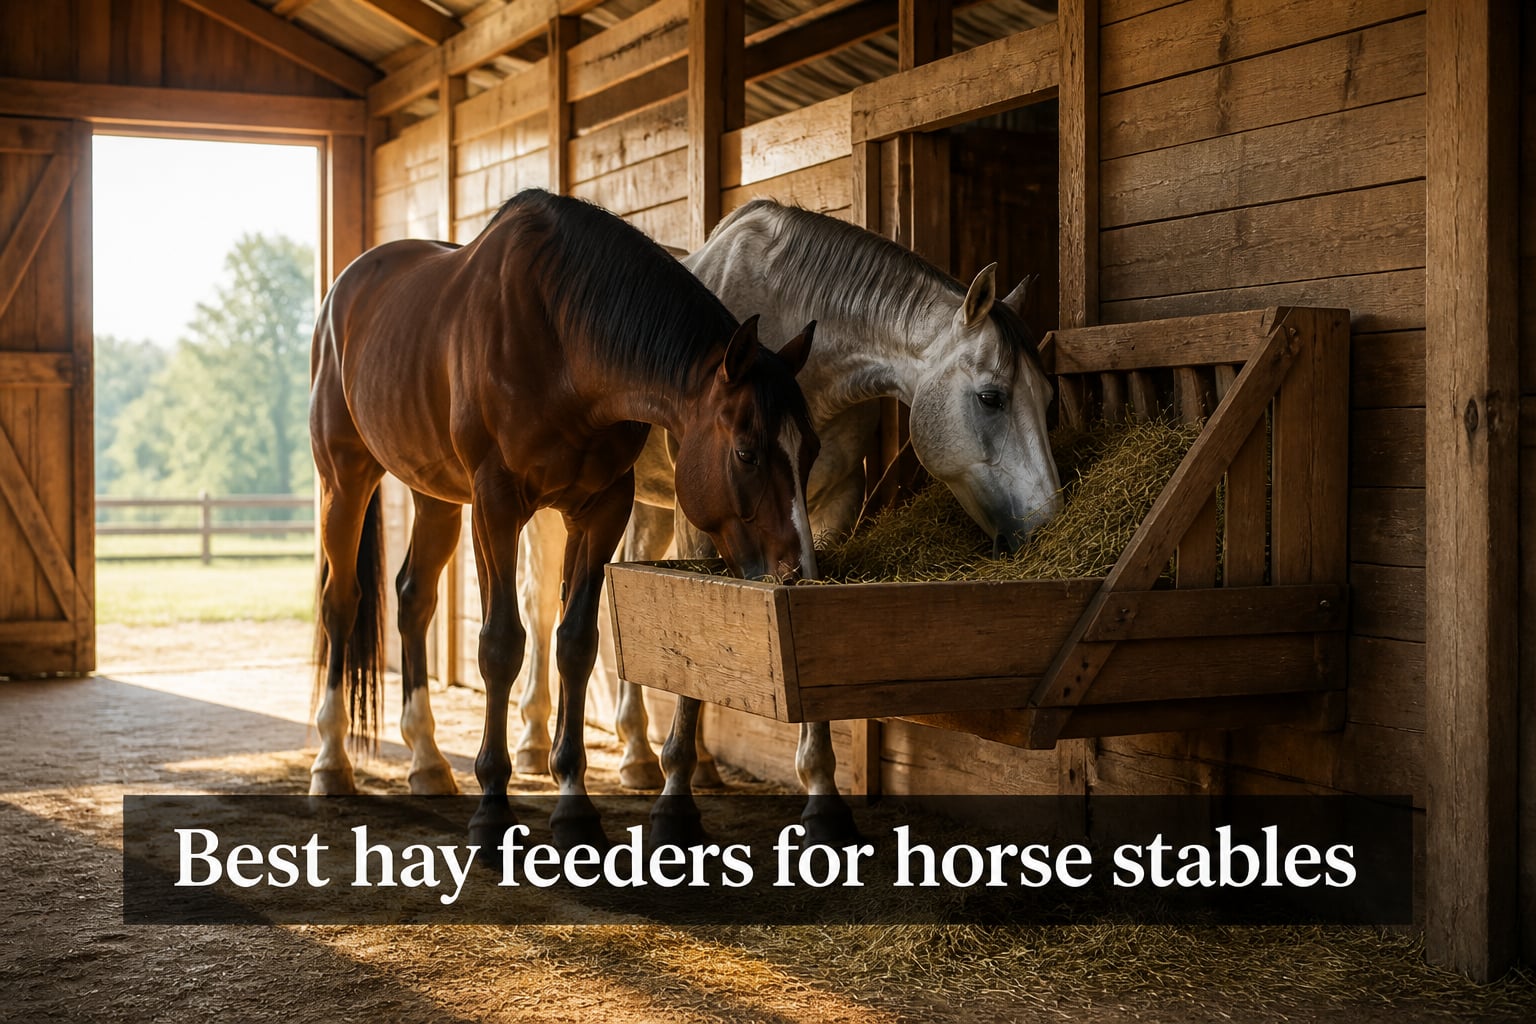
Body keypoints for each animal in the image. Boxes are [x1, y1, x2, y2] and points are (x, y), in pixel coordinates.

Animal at [306, 188, 819, 849]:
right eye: (747, 452)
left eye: (810, 449)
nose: (799, 571)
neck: (561, 344)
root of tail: (345, 288)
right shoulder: (497, 505)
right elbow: (501, 643)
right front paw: (494, 808)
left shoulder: (602, 510)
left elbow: (576, 642)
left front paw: (574, 801)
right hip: (344, 480)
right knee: (340, 603)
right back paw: (331, 762)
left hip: (435, 495)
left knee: (413, 598)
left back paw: (426, 760)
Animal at [514, 200, 1061, 841]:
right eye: (992, 397)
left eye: (1049, 397)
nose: (1048, 523)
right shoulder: (703, 522)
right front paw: (675, 806)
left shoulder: (831, 507)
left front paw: (823, 797)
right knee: (538, 602)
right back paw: (533, 747)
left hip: (648, 507)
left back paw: (640, 757)